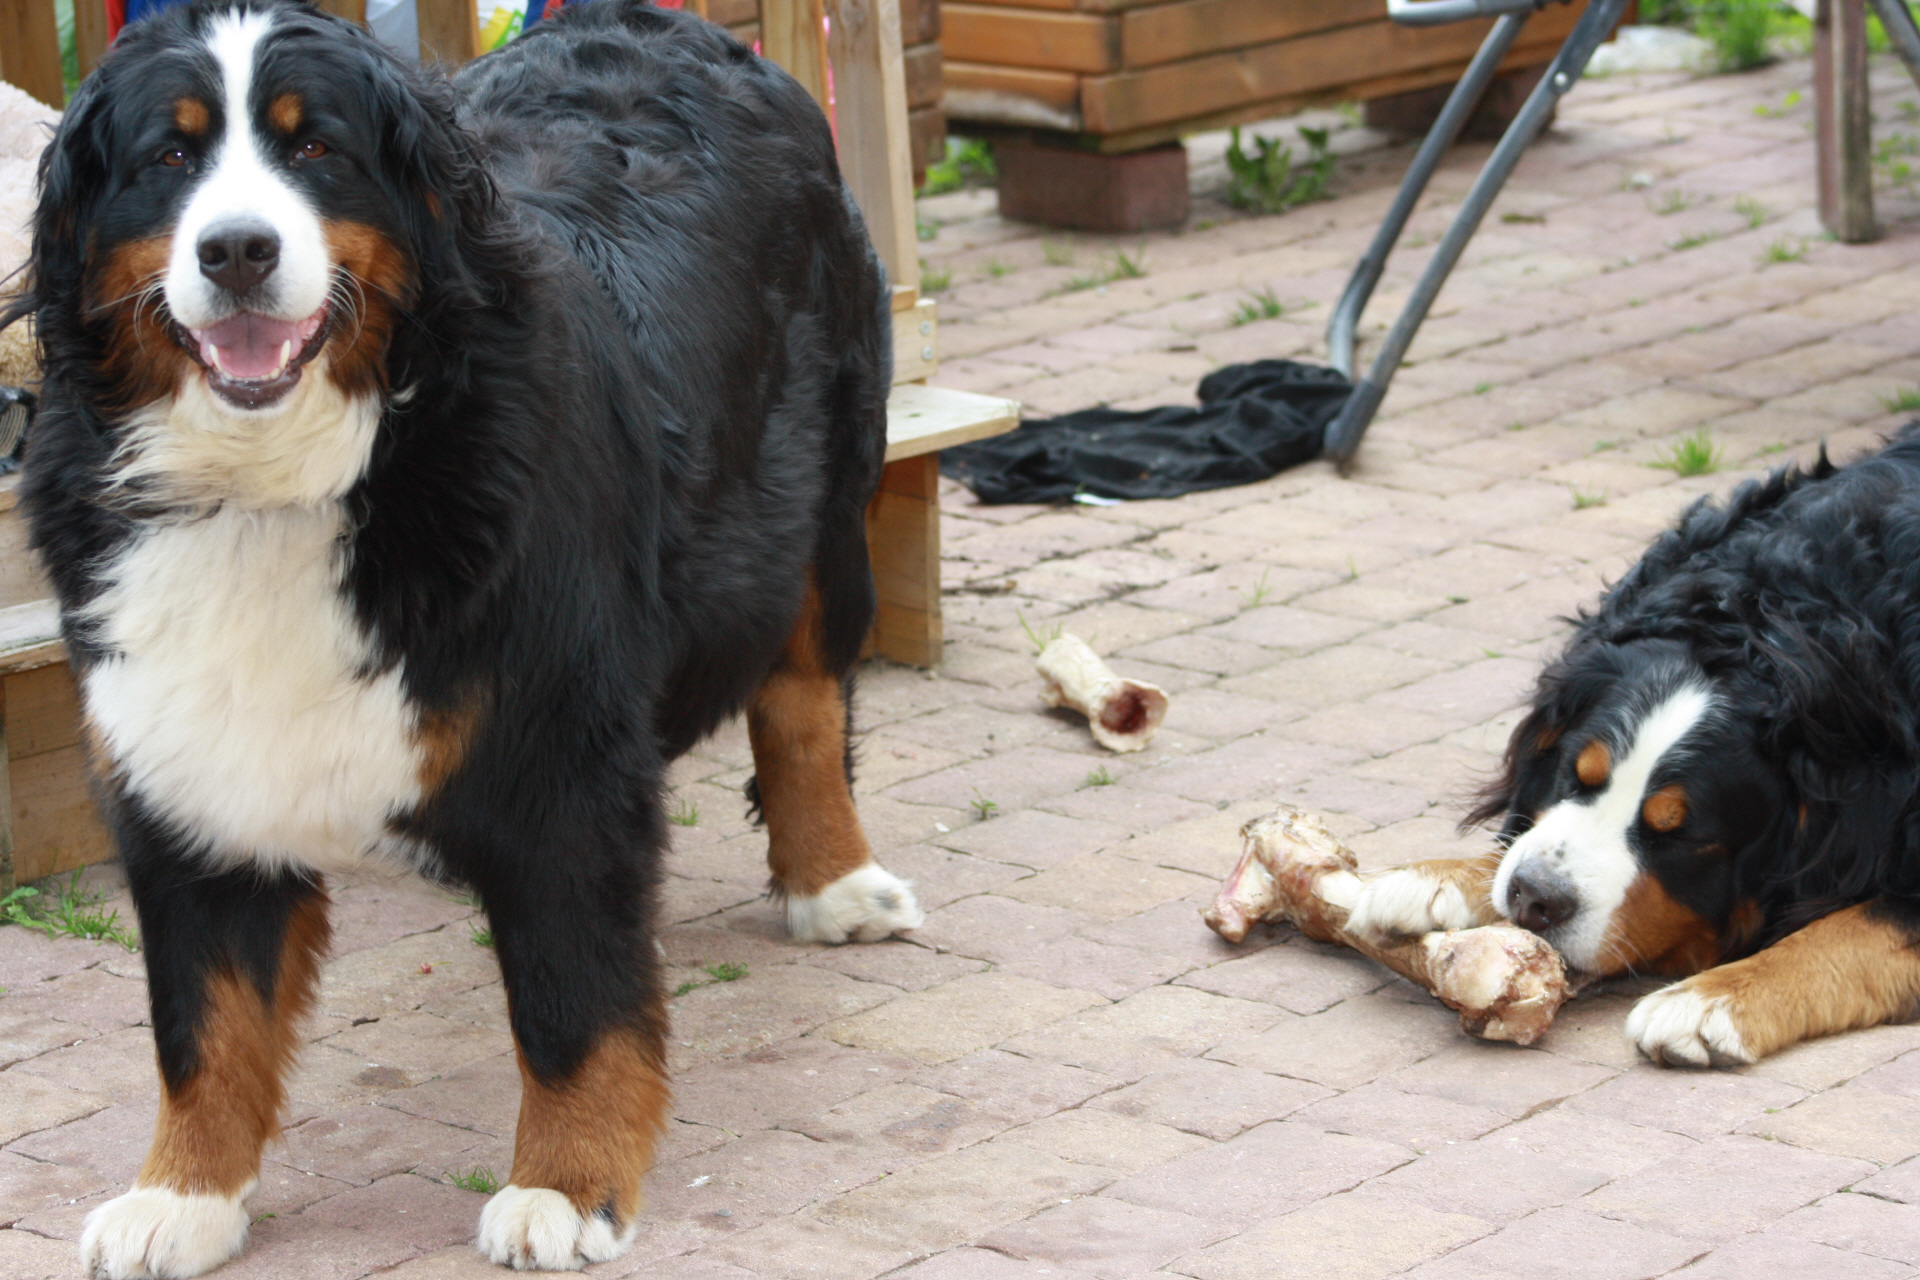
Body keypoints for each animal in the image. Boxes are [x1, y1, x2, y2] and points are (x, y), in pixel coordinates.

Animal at [8, 0, 924, 1273]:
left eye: (317, 147)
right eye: (169, 158)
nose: (235, 250)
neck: (280, 483)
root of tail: (664, 27)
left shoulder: (563, 756)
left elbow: (570, 997)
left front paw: (566, 1184)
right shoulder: (179, 759)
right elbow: (202, 1016)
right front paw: (183, 1192)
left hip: (818, 505)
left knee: (803, 698)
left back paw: (835, 880)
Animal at [1345, 428, 1920, 1069]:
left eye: (1680, 835)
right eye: (1576, 776)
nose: (1535, 896)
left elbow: (1854, 925)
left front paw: (1712, 1000)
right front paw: (1431, 880)